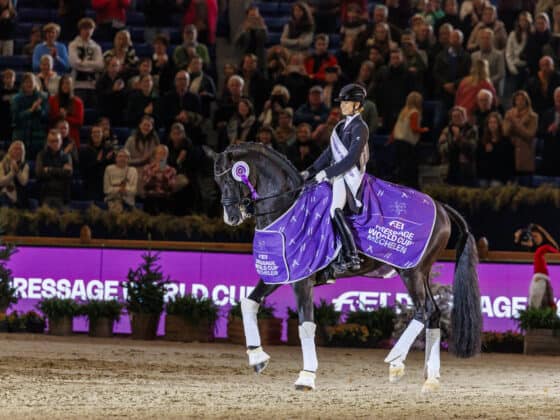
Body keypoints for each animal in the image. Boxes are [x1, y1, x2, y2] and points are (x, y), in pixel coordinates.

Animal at [206, 144, 482, 394]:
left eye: (231, 177)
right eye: (217, 182)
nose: (231, 218)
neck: (288, 206)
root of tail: (442, 207)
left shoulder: (302, 279)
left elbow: (306, 324)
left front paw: (306, 377)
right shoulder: (281, 271)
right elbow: (247, 303)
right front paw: (257, 358)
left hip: (411, 272)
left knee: (423, 311)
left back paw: (395, 360)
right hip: (421, 272)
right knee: (433, 313)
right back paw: (430, 378)